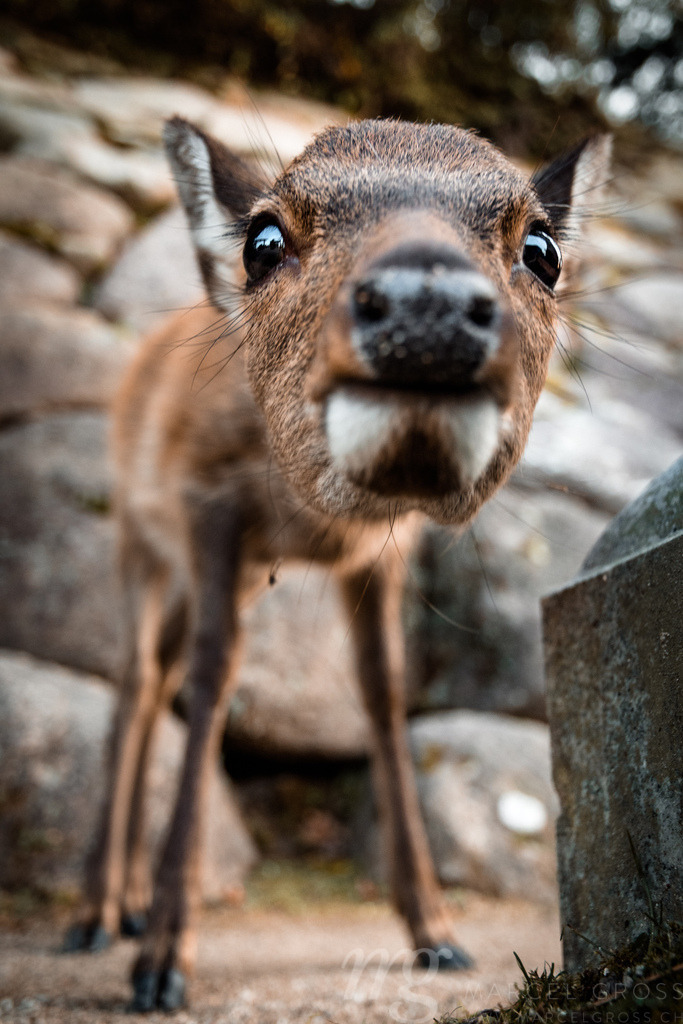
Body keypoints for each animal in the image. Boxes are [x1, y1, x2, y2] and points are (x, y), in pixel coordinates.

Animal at [64, 115, 610, 1011]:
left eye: (541, 249)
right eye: (263, 240)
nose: (426, 307)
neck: (310, 523)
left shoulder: (381, 553)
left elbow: (384, 695)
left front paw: (437, 934)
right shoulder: (206, 503)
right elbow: (216, 677)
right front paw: (163, 967)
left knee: (155, 678)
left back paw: (129, 905)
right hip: (137, 542)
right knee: (137, 683)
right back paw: (93, 917)